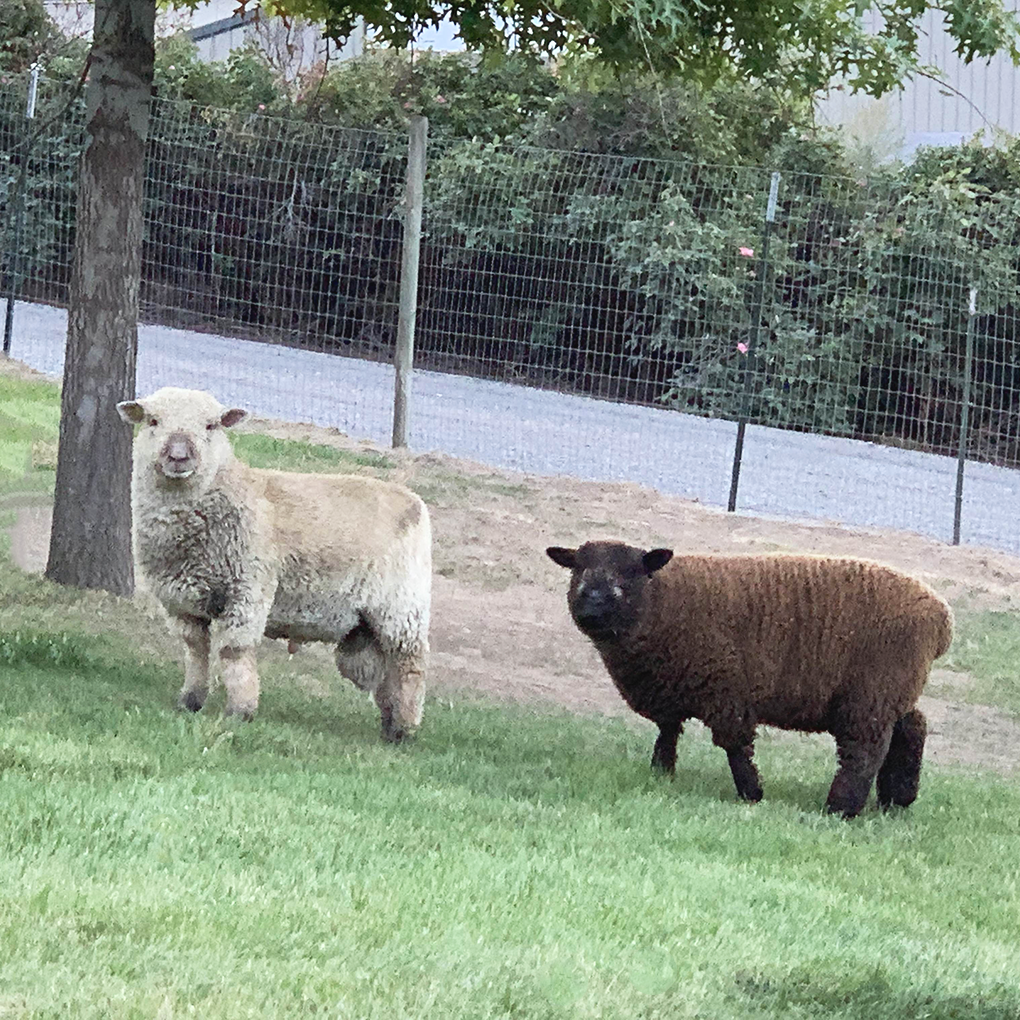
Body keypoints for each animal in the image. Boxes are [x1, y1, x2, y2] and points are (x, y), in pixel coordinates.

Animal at [117, 387, 431, 742]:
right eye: (153, 421)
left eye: (212, 425)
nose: (179, 457)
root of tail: (414, 501)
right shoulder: (180, 602)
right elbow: (195, 649)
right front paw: (190, 701)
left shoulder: (247, 591)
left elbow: (234, 651)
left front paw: (240, 712)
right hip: (368, 623)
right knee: (386, 672)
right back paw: (390, 726)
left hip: (402, 606)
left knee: (409, 665)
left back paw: (405, 728)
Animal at [546, 540, 953, 817]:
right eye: (577, 570)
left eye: (628, 575)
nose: (590, 610)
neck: (661, 601)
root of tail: (941, 618)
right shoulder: (671, 686)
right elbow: (668, 733)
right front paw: (661, 775)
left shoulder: (726, 688)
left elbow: (735, 745)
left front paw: (751, 793)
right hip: (892, 688)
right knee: (911, 726)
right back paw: (897, 799)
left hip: (873, 691)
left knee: (865, 751)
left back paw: (841, 808)